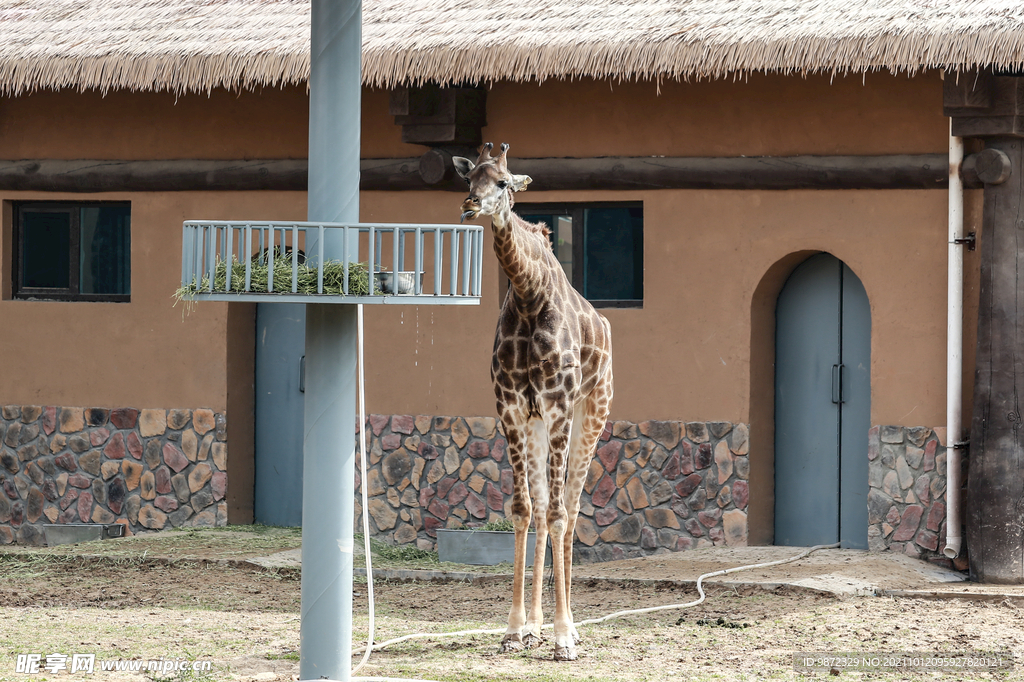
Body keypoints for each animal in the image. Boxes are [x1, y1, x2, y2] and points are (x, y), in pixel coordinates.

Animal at [452, 142, 610, 659]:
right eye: (469, 179)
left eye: (502, 182)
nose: (470, 206)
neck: (527, 294)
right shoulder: (512, 407)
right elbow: (523, 510)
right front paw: (516, 628)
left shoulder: (559, 404)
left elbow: (560, 513)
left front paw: (563, 638)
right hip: (541, 422)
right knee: (542, 508)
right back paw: (538, 626)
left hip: (593, 411)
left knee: (572, 507)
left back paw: (571, 628)